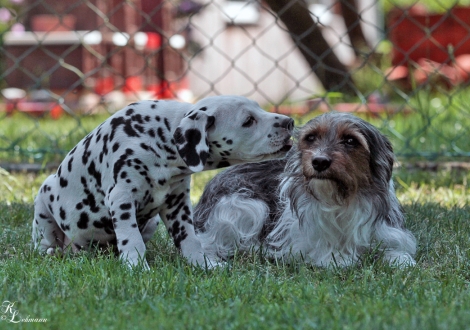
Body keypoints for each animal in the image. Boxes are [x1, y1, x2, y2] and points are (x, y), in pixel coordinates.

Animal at [32, 94, 294, 268]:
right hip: (44, 203)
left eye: (259, 109)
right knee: (45, 241)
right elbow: (132, 239)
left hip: (151, 222)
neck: (157, 136)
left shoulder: (177, 204)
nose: (289, 121)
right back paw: (51, 251)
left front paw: (203, 263)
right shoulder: (122, 197)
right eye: (248, 120)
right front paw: (136, 266)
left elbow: (189, 239)